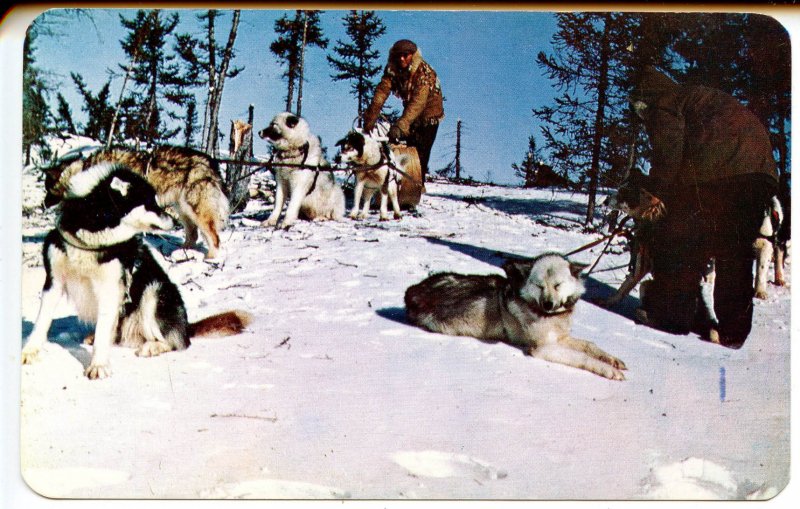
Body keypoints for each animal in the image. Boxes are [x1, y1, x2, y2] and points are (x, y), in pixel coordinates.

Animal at [21, 163, 252, 378]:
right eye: (150, 203)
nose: (174, 220)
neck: (92, 239)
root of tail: (186, 326)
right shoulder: (54, 282)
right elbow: (41, 323)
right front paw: (29, 351)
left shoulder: (110, 287)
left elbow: (103, 331)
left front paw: (98, 365)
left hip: (153, 292)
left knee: (176, 342)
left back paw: (153, 346)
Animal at [45, 145, 228, 260]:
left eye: (47, 188)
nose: (43, 204)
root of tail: (210, 162)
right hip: (183, 210)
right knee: (193, 234)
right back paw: (182, 252)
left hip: (196, 210)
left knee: (214, 237)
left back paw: (210, 258)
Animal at [406, 252, 624, 380]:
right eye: (539, 286)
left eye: (557, 285)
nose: (548, 304)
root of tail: (413, 290)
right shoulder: (542, 348)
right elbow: (582, 357)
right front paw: (608, 370)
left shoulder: (560, 338)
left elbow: (590, 345)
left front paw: (612, 360)